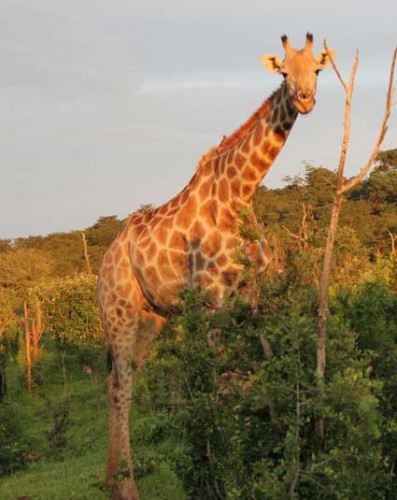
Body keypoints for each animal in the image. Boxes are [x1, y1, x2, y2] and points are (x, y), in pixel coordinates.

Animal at [97, 33, 332, 498]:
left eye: (317, 68)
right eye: (284, 72)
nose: (304, 99)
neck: (239, 192)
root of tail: (103, 263)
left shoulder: (251, 291)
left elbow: (252, 372)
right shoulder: (212, 300)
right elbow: (221, 384)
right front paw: (228, 470)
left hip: (153, 315)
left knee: (118, 380)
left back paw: (114, 480)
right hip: (118, 311)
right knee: (123, 386)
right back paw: (127, 486)